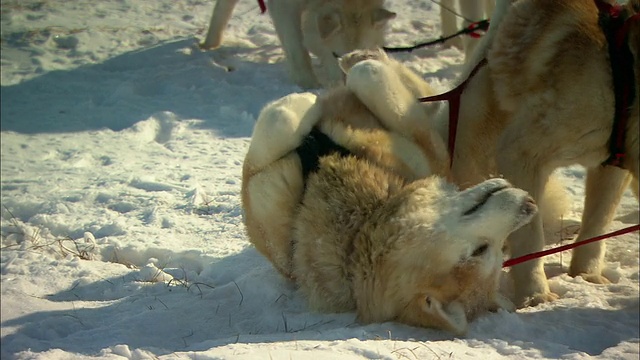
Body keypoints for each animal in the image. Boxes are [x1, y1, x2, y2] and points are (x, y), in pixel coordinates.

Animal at [204, 0, 396, 88]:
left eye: (364, 55)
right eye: (336, 55)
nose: (350, 88)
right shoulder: (284, 8)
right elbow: (297, 49)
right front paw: (309, 85)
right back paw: (209, 45)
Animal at [344, 0, 640, 310]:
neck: (625, 76)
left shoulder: (613, 159)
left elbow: (598, 221)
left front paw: (586, 275)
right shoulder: (521, 152)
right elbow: (530, 235)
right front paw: (535, 294)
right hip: (477, 128)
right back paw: (365, 63)